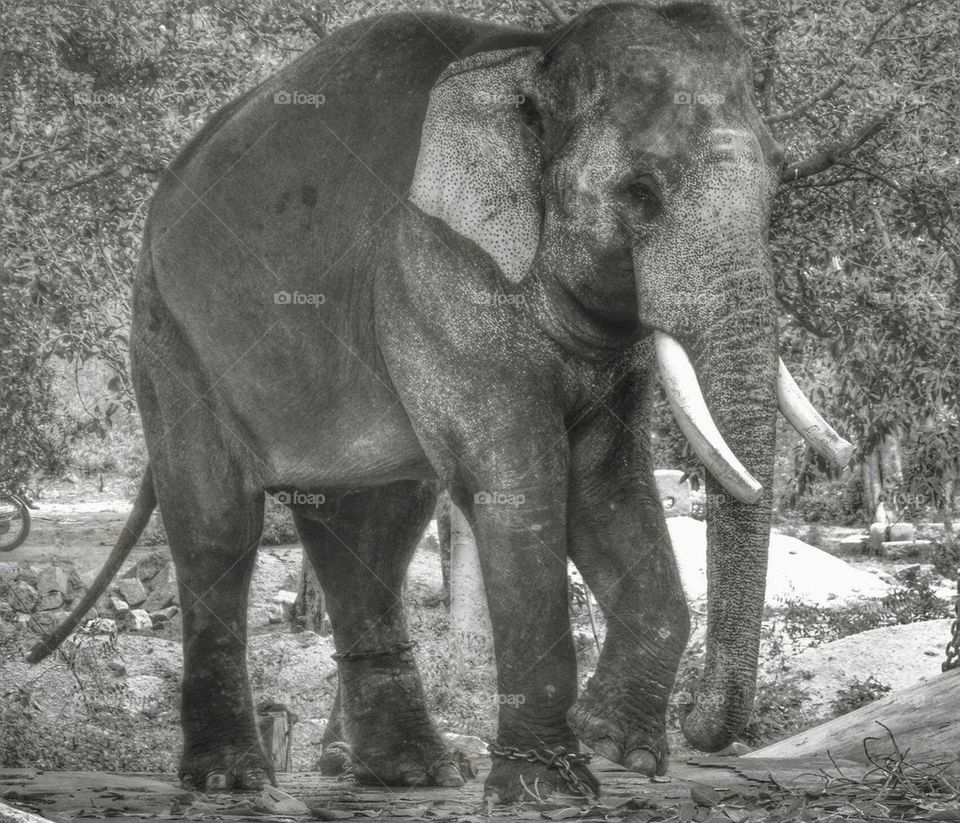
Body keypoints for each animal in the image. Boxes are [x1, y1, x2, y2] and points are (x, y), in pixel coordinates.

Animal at [29, 0, 853, 803]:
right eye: (639, 193)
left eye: (779, 185)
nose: (701, 725)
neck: (534, 52)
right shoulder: (436, 270)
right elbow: (518, 481)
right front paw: (553, 789)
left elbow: (605, 482)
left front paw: (616, 744)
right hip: (171, 334)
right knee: (218, 525)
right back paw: (232, 779)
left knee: (374, 528)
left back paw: (412, 773)